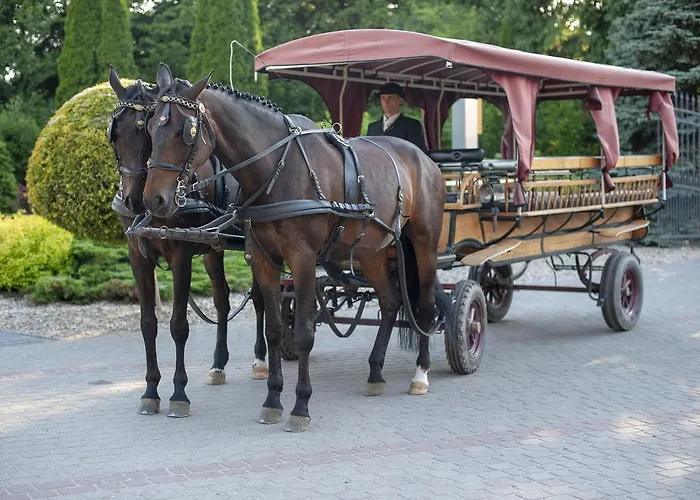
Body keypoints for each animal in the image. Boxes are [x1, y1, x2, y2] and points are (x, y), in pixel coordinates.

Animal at [107, 66, 268, 418]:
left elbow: (179, 325)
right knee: (222, 301)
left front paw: (179, 393)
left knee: (262, 299)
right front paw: (150, 390)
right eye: (115, 134)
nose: (137, 200)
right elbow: (148, 323)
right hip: (212, 249)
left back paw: (261, 360)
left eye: (145, 132)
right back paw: (218, 365)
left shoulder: (179, 253)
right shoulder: (137, 256)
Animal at [142, 62, 455, 431]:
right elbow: (276, 329)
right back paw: (375, 372)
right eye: (150, 127)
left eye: (185, 131)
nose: (154, 200)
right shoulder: (265, 261)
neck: (277, 167)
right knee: (391, 301)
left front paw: (300, 405)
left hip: (424, 244)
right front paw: (273, 399)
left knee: (425, 305)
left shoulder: (303, 260)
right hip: (373, 251)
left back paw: (420, 374)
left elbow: (304, 333)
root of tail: (422, 157)